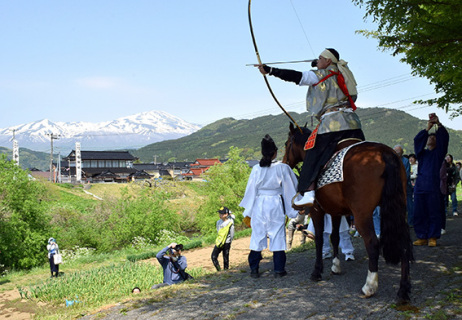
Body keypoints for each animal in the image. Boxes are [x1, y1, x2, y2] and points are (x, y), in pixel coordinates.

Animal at [284, 122, 414, 302]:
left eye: (286, 144)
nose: (284, 161)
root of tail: (384, 153)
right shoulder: (335, 211)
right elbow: (335, 237)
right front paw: (335, 266)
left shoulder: (317, 210)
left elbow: (319, 239)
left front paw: (317, 271)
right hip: (398, 208)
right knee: (404, 243)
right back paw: (403, 290)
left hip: (362, 214)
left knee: (372, 243)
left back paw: (370, 286)